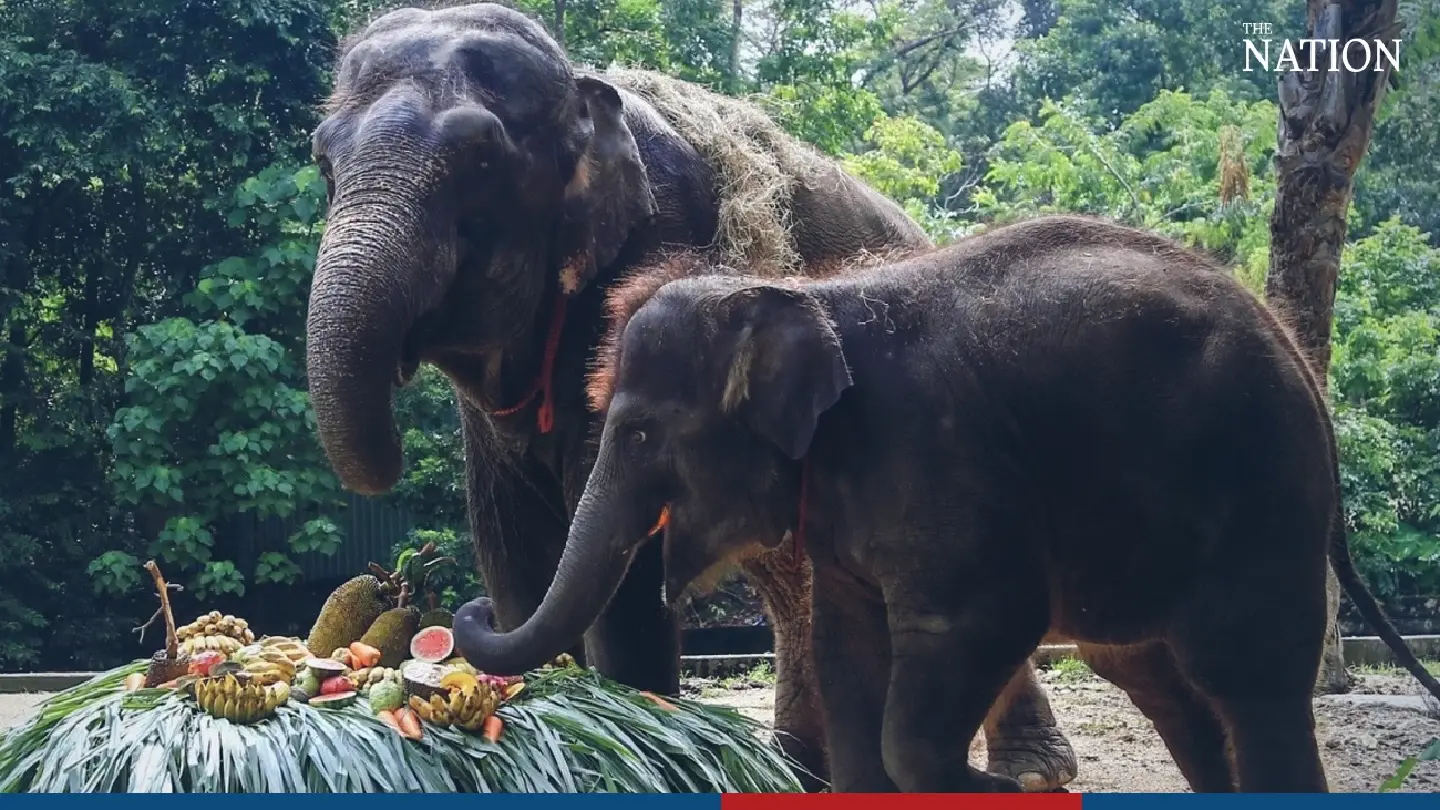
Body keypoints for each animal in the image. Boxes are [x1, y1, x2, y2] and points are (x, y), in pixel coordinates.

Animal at [305, 1, 1075, 790]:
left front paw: (641, 740)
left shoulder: (661, 245)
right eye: (322, 160)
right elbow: (512, 541)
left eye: (480, 158)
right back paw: (802, 769)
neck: (583, 89)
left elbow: (627, 560)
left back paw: (1032, 773)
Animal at [450, 214, 1440, 793]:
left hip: (1260, 492)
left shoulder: (935, 454)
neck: (802, 292)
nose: (464, 607)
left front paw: (993, 789)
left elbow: (974, 627)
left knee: (1249, 678)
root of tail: (1302, 363)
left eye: (642, 434)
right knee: (1165, 684)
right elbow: (850, 650)